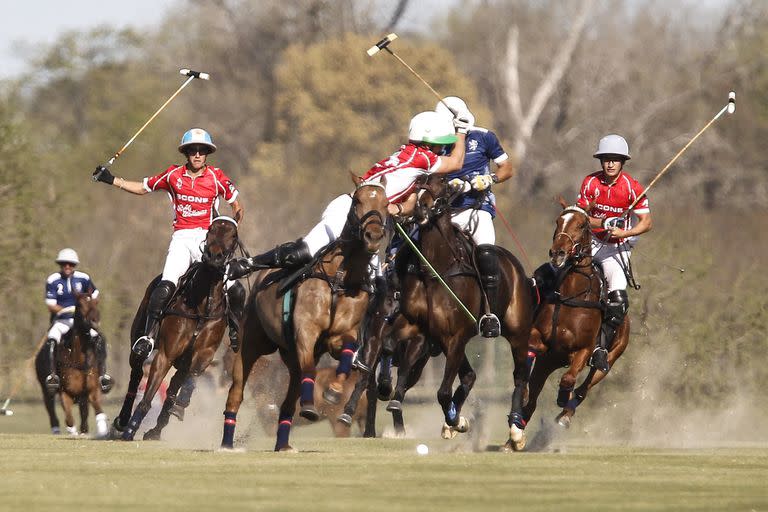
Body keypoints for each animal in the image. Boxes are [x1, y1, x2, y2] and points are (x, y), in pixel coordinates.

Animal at [34, 294, 110, 438]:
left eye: (95, 302)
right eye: (79, 304)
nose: (95, 321)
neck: (79, 360)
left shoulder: (92, 390)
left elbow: (97, 409)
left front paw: (101, 430)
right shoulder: (65, 392)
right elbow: (69, 418)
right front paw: (73, 432)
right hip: (46, 389)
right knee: (50, 407)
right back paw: (56, 430)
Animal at [115, 216, 242, 440]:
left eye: (233, 235)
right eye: (211, 229)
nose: (214, 257)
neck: (203, 305)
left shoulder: (204, 353)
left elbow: (192, 376)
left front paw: (180, 405)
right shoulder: (166, 353)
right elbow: (148, 395)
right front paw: (130, 430)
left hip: (182, 362)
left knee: (174, 386)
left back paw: (157, 429)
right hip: (138, 342)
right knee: (136, 375)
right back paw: (123, 421)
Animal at [222, 177, 390, 452]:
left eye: (386, 204)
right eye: (357, 201)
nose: (373, 236)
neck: (339, 277)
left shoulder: (340, 335)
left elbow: (346, 352)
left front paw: (334, 390)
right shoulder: (306, 333)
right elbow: (311, 367)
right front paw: (313, 404)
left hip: (290, 358)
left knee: (289, 401)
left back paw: (283, 444)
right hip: (252, 344)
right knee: (236, 394)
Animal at [520, 200, 632, 444]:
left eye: (582, 225)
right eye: (558, 221)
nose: (558, 253)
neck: (572, 293)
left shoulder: (583, 349)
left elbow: (569, 379)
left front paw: (563, 400)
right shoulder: (542, 341)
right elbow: (531, 349)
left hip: (611, 358)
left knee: (585, 386)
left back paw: (565, 414)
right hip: (548, 362)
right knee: (531, 402)